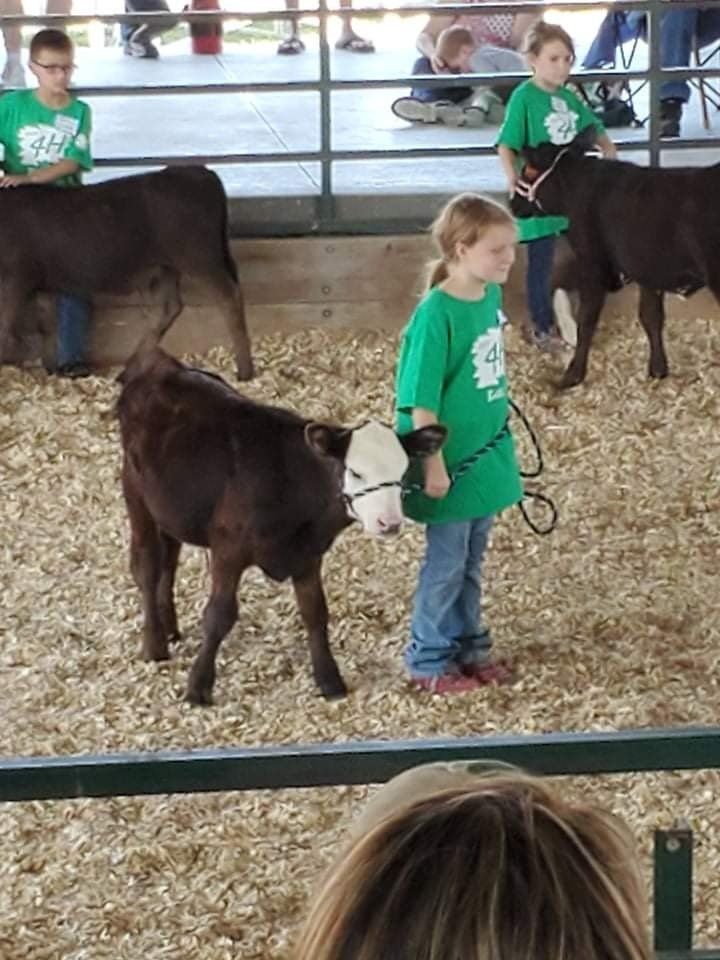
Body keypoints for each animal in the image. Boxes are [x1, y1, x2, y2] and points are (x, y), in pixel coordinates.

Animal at [0, 165, 253, 379]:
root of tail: (200, 171)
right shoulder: (41, 282)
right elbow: (46, 325)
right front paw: (50, 369)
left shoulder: (15, 279)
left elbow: (6, 324)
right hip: (167, 266)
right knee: (169, 307)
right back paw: (132, 365)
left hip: (200, 258)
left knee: (229, 296)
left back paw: (245, 371)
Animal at [116, 346, 447, 704]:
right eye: (356, 472)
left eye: (403, 472)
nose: (389, 522)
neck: (291, 484)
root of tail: (159, 361)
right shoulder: (228, 548)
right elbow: (219, 615)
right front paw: (198, 687)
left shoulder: (308, 553)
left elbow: (316, 612)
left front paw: (329, 680)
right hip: (135, 492)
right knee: (147, 565)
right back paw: (154, 644)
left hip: (169, 506)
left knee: (169, 559)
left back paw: (170, 628)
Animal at [511, 127, 720, 389]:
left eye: (529, 170)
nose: (512, 203)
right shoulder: (646, 270)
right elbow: (651, 316)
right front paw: (658, 369)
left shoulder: (593, 262)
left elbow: (586, 317)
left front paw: (573, 373)